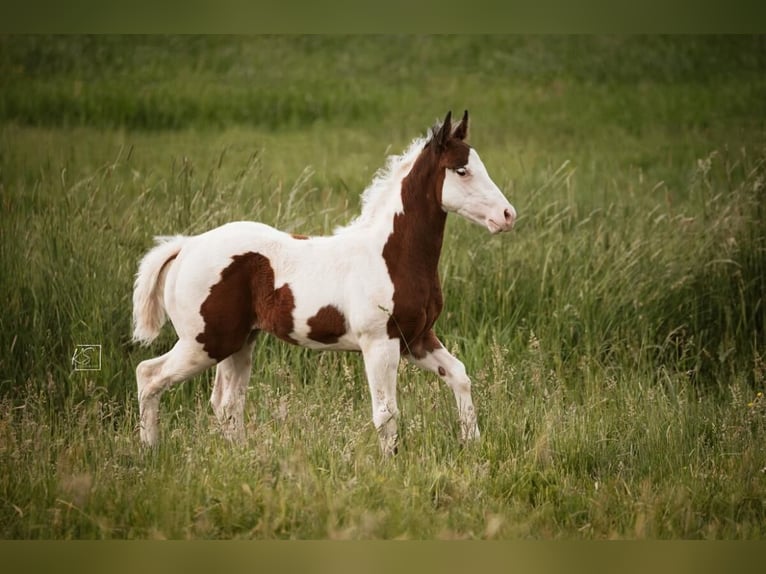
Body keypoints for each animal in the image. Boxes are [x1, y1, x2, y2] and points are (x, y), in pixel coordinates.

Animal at [132, 110, 516, 455]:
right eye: (461, 170)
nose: (507, 215)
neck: (390, 254)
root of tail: (187, 246)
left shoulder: (417, 339)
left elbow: (460, 375)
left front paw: (473, 444)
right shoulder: (379, 343)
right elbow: (386, 413)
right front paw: (391, 466)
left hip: (239, 343)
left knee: (227, 405)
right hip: (205, 342)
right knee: (149, 375)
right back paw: (150, 452)